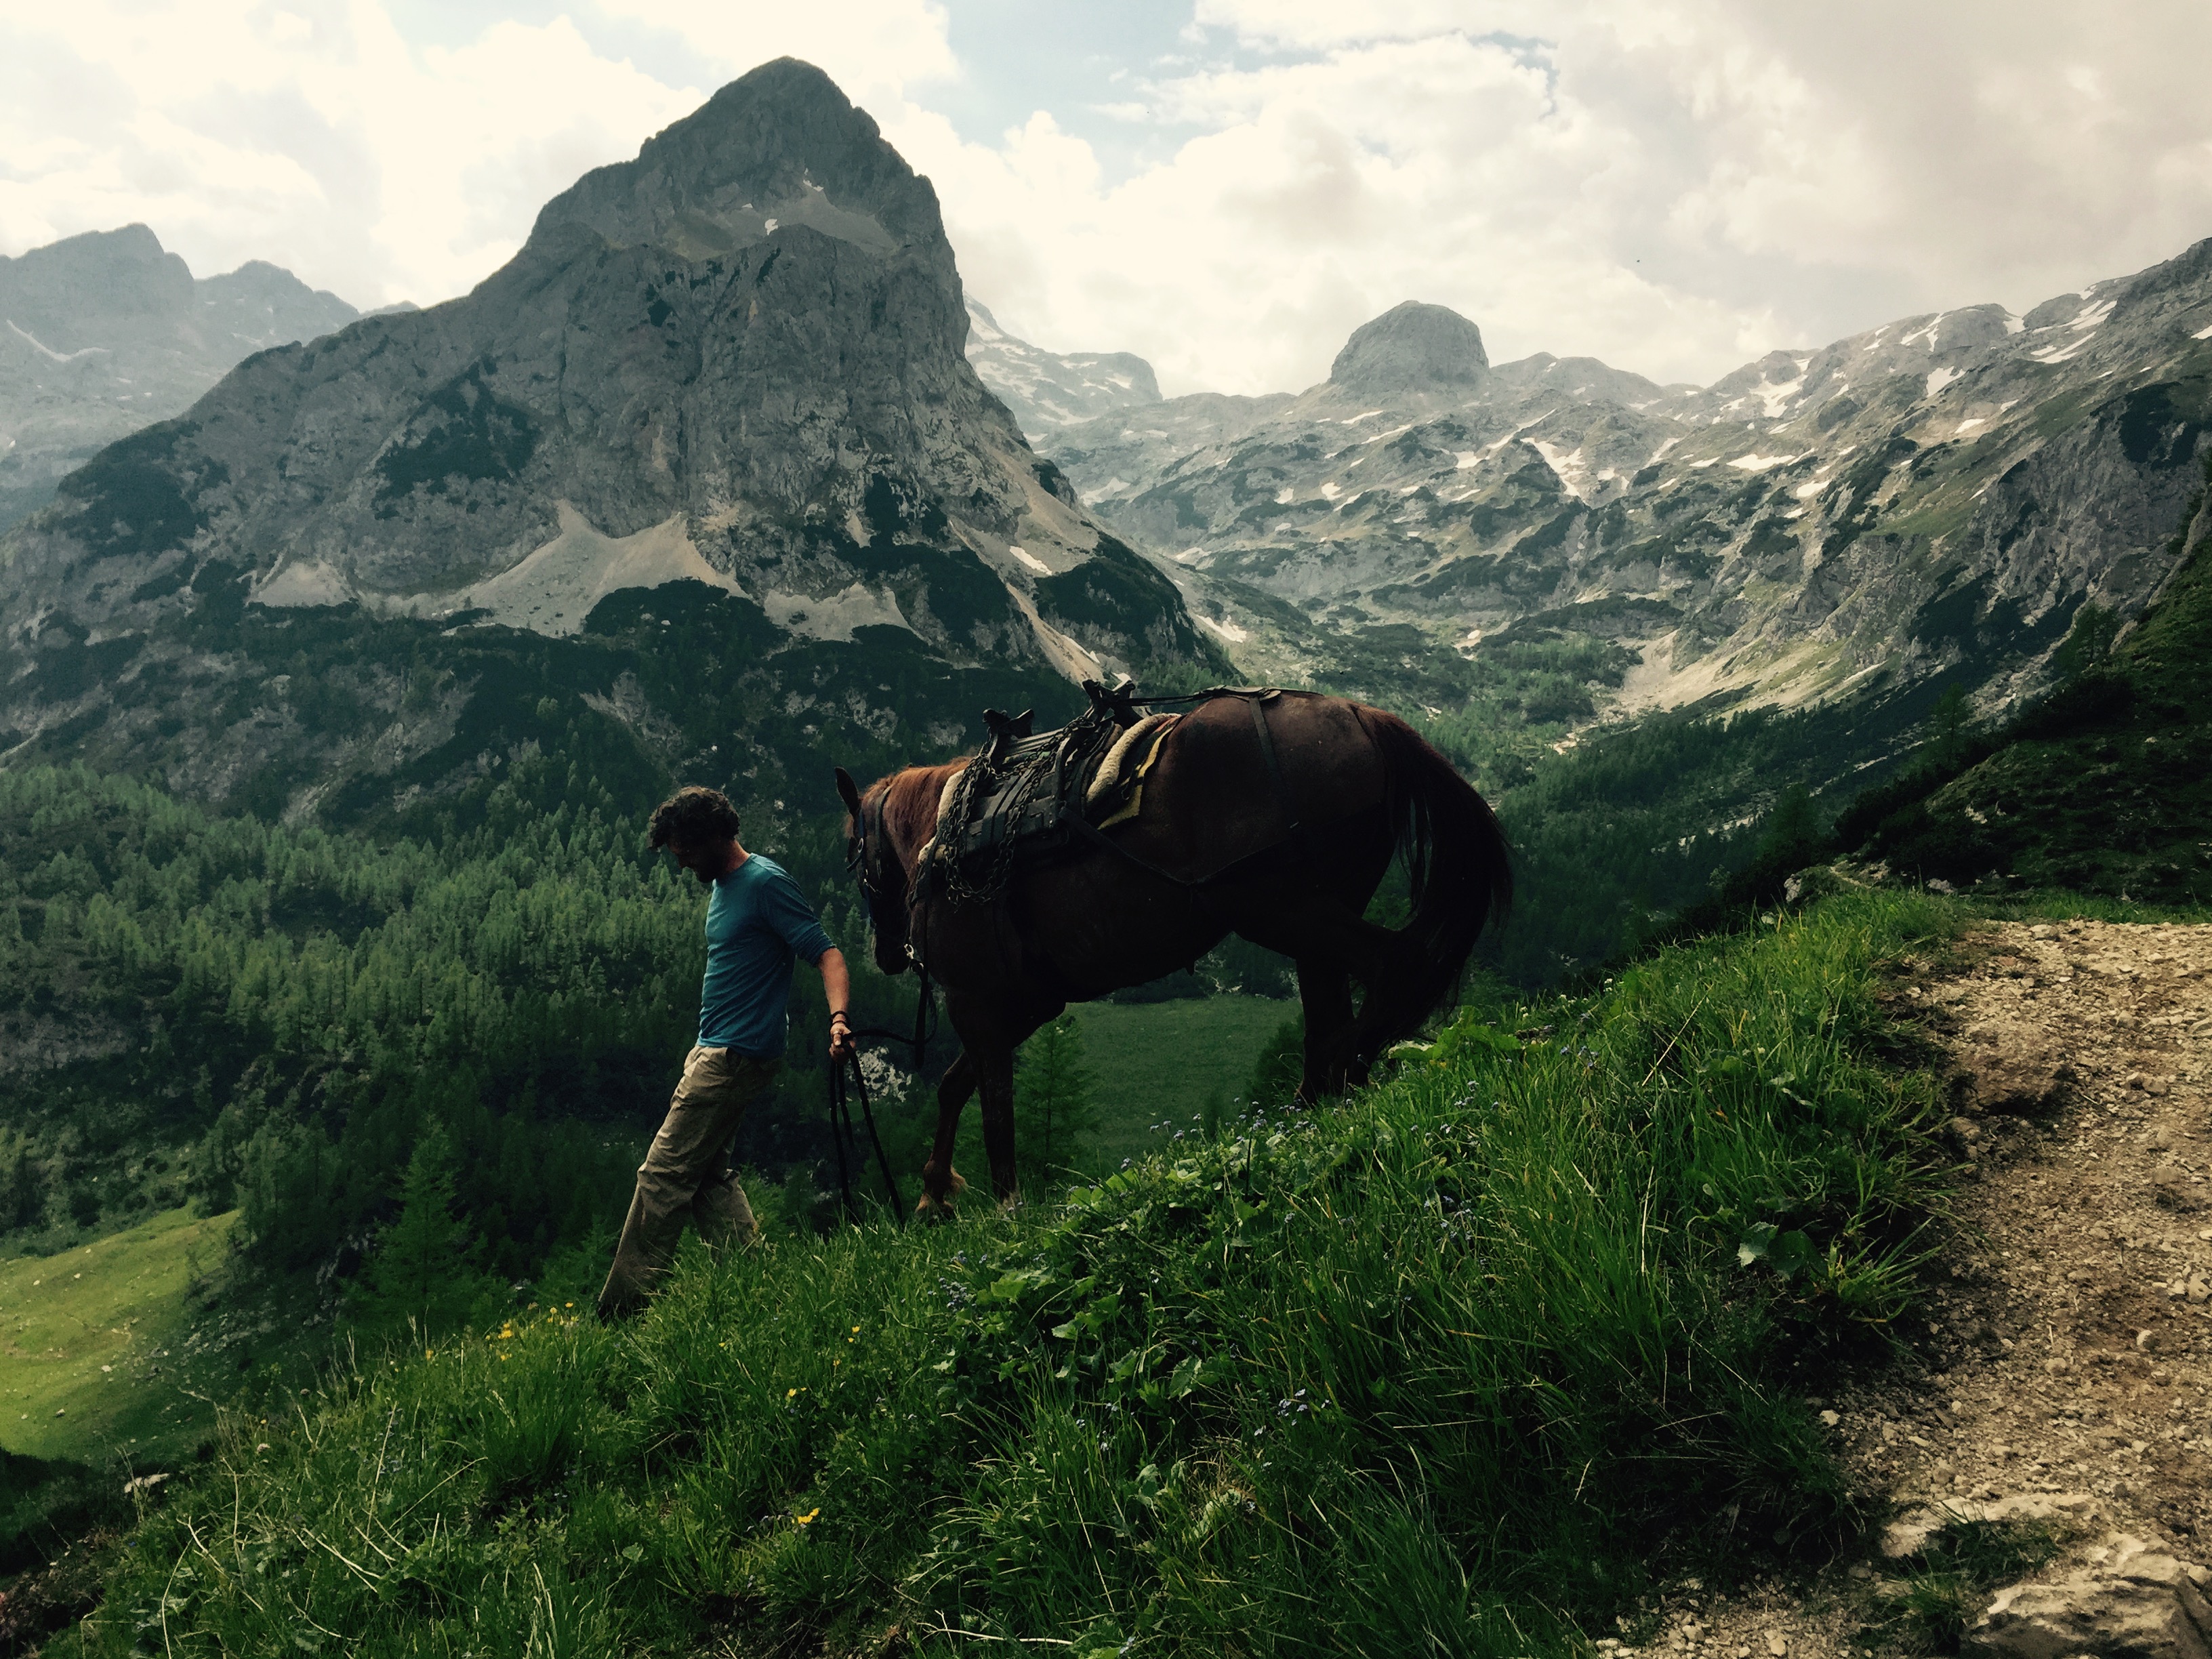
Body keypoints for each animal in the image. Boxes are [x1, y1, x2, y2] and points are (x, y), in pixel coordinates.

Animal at [836, 690, 1513, 1221]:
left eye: (852, 853)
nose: (889, 954)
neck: (944, 839)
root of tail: (1359, 715)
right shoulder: (1024, 1003)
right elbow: (957, 1086)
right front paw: (934, 1192)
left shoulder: (974, 999)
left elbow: (994, 1109)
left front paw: (1003, 1207)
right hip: (1312, 921)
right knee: (1328, 1018)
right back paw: (1305, 1115)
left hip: (1279, 909)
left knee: (1387, 973)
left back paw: (1337, 1090)